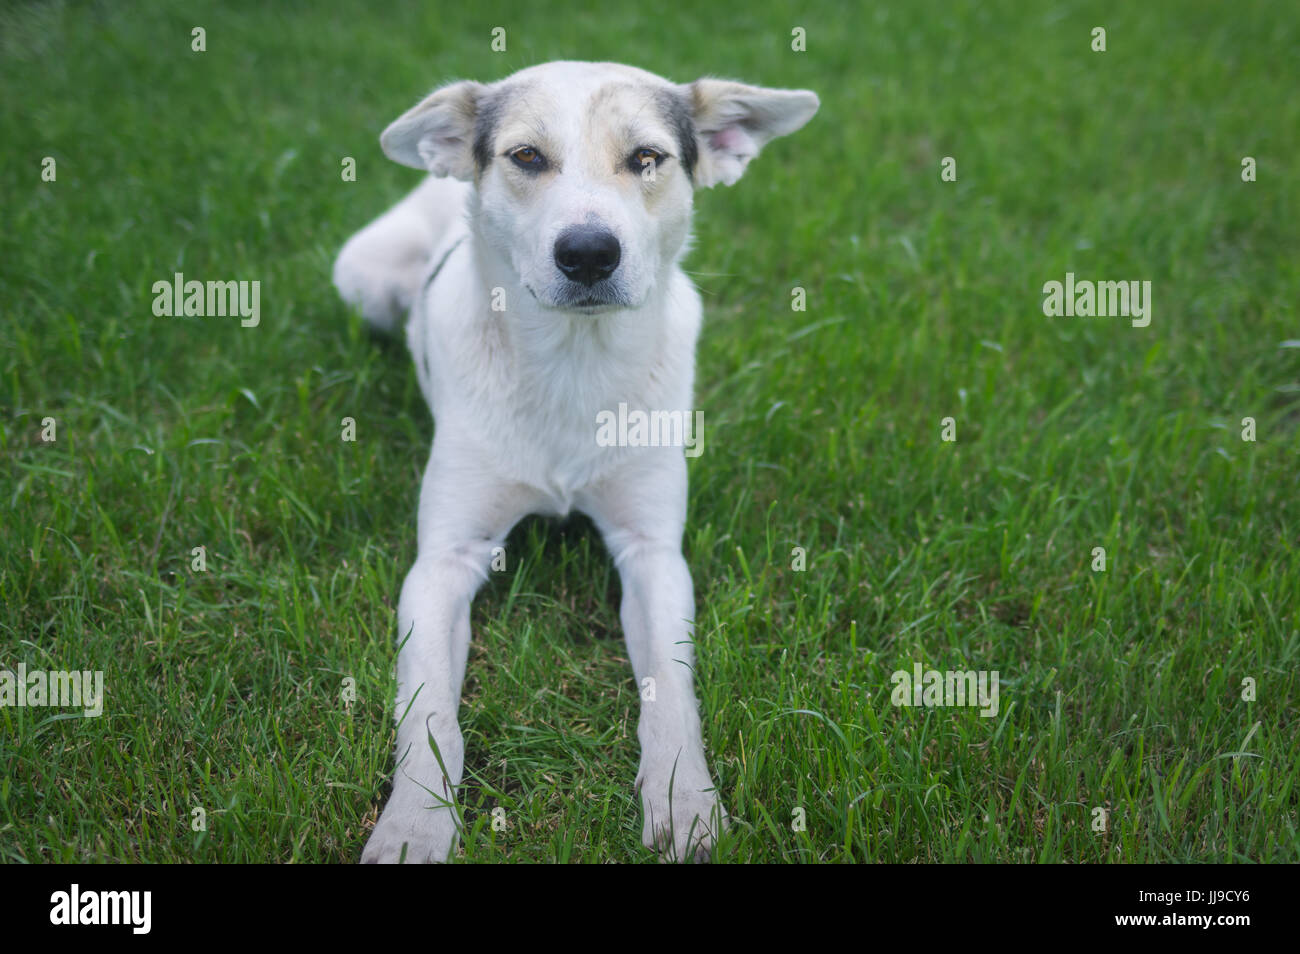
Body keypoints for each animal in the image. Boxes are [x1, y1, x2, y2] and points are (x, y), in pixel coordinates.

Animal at [332, 61, 821, 868]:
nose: (589, 252)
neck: (572, 364)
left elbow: (671, 694)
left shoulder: (652, 552)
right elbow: (430, 715)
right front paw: (414, 823)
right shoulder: (442, 562)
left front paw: (684, 801)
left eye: (647, 157)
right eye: (527, 156)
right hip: (361, 275)